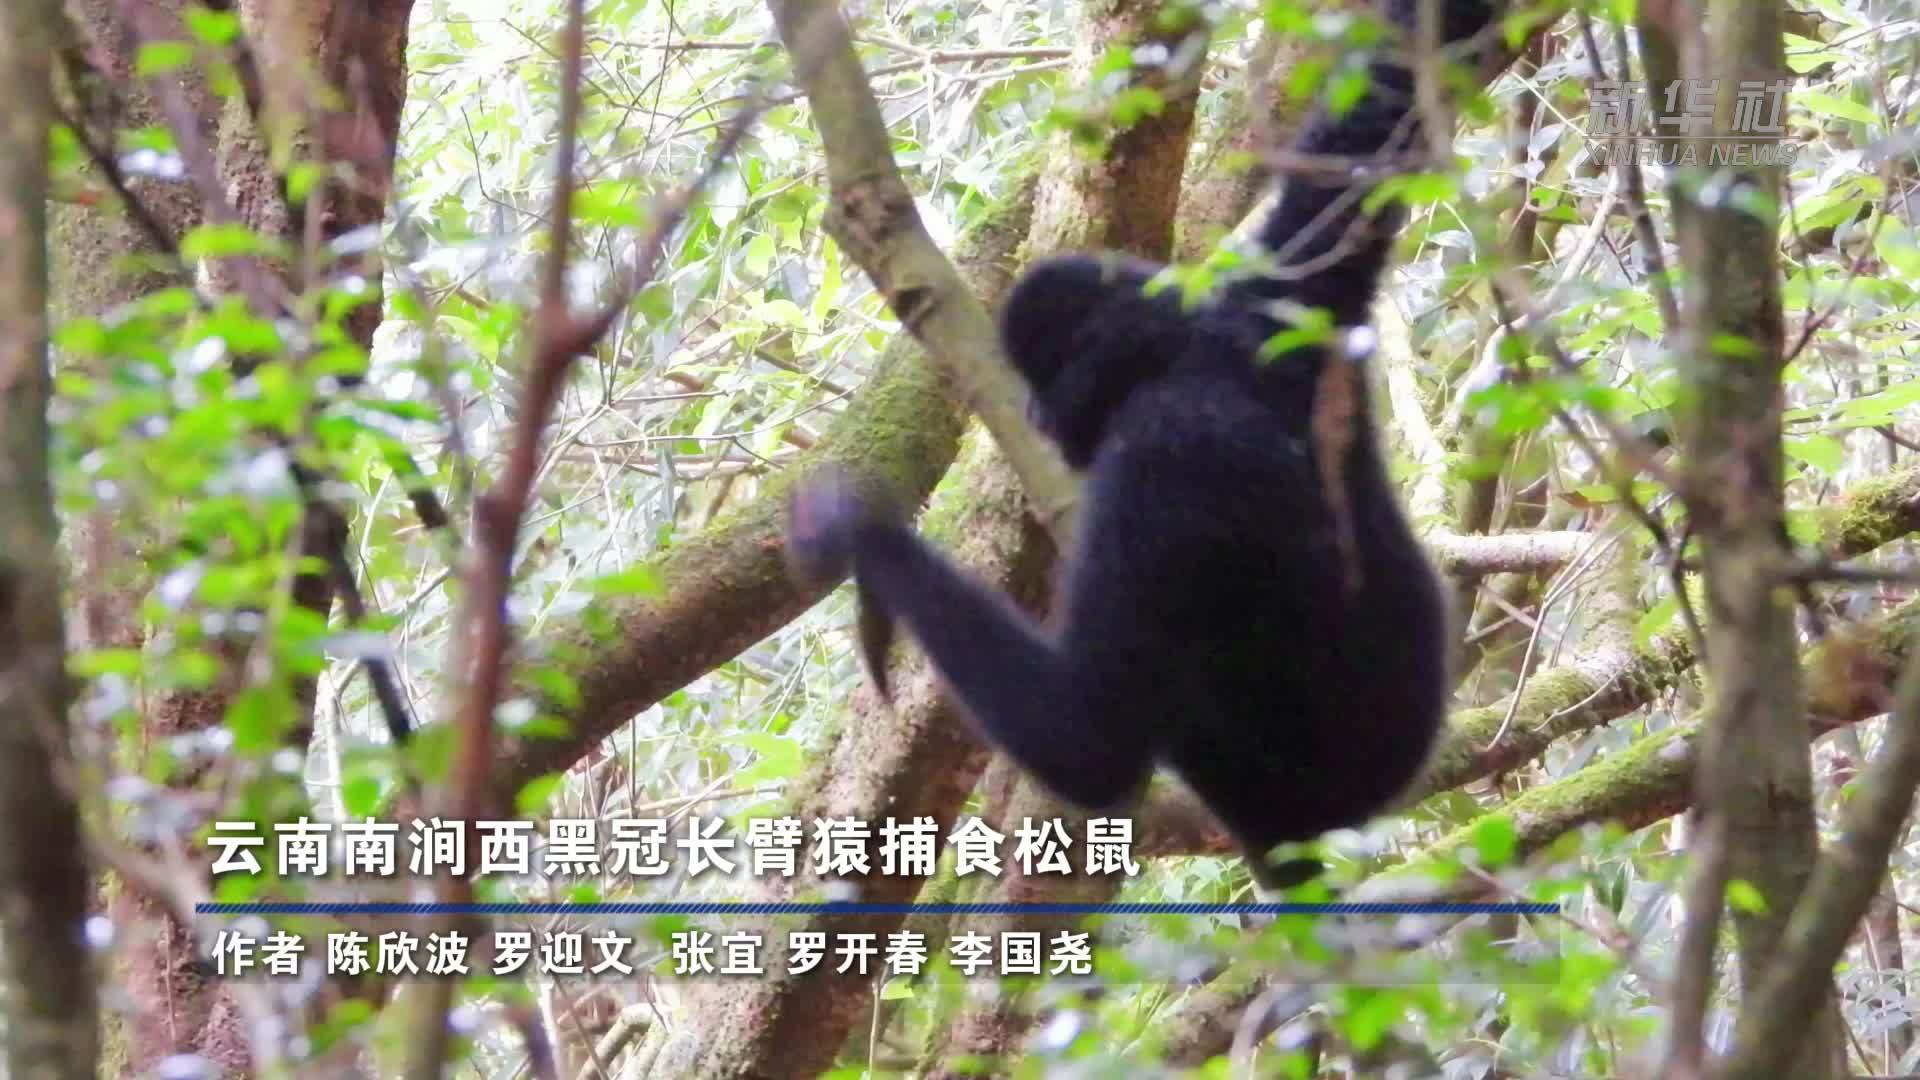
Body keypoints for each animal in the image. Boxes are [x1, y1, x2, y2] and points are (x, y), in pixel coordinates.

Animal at [787, 0, 1509, 889]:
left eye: (1051, 377)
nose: (1041, 414)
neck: (1192, 354)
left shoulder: (1161, 458)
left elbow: (1092, 738)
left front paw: (859, 532)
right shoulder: (1279, 301)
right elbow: (1377, 114)